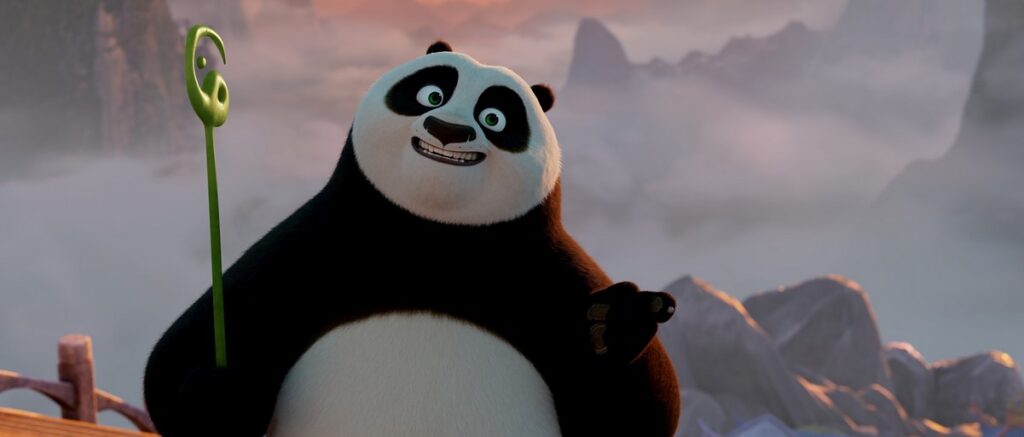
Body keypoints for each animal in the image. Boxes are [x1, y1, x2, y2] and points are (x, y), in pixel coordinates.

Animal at [144, 41, 680, 437]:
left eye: (495, 119)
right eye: (431, 95)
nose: (448, 129)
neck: (431, 239)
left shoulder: (546, 273)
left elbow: (642, 413)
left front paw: (615, 325)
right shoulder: (305, 254)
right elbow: (173, 360)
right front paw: (219, 395)